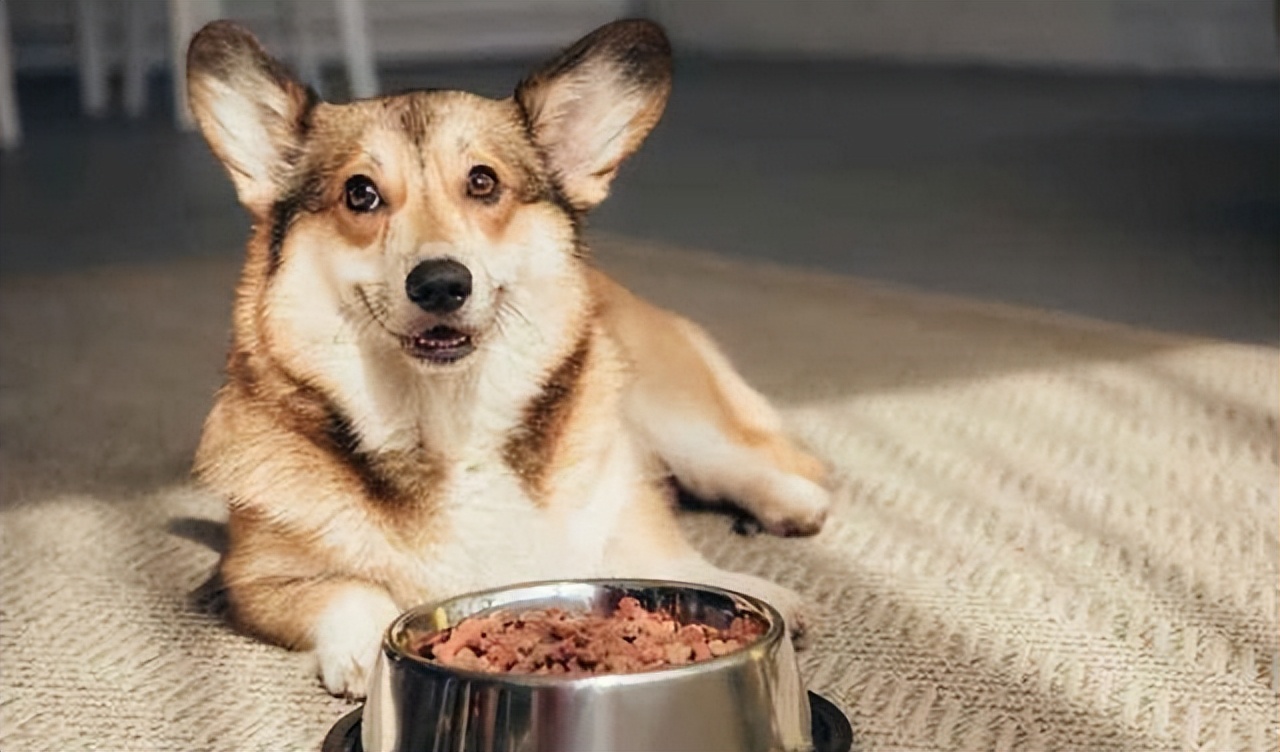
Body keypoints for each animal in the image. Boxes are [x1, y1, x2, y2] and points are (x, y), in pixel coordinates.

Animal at [186, 19, 829, 700]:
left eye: (482, 182)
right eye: (360, 194)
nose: (441, 283)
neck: (447, 423)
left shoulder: (619, 497)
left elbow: (667, 557)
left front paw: (745, 588)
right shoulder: (252, 578)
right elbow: (345, 591)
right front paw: (365, 646)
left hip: (671, 415)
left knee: (741, 460)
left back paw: (794, 504)